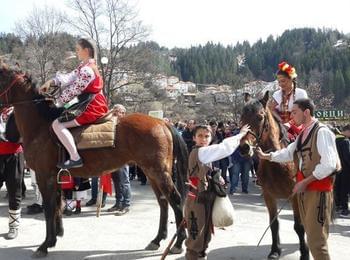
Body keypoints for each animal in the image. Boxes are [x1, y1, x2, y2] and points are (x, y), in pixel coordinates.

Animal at [0, 61, 189, 258]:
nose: (6, 134)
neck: (41, 126)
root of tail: (162, 122)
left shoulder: (45, 176)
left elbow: (49, 208)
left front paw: (45, 245)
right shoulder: (56, 178)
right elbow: (57, 205)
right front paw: (55, 236)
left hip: (159, 172)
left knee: (175, 200)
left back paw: (178, 243)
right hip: (152, 173)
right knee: (163, 201)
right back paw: (157, 239)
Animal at [239, 92, 310, 260]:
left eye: (259, 117)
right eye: (242, 117)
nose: (244, 147)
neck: (279, 161)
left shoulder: (294, 196)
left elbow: (299, 226)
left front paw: (304, 253)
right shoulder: (268, 196)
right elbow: (274, 224)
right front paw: (275, 250)